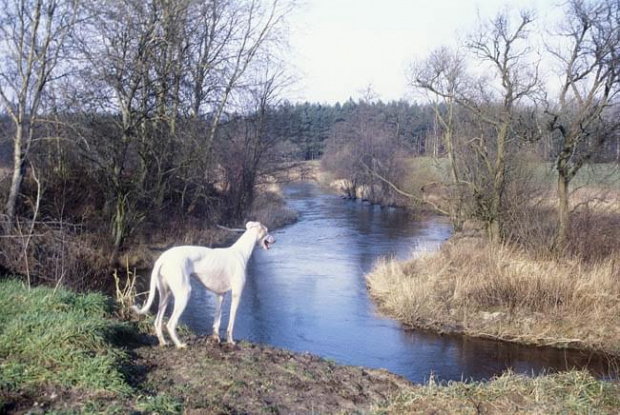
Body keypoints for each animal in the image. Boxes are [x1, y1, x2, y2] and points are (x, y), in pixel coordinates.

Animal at [132, 223, 274, 350]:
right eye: (267, 230)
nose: (274, 240)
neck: (240, 252)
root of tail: (162, 258)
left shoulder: (220, 295)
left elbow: (217, 320)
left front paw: (216, 338)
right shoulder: (236, 295)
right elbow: (231, 322)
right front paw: (230, 341)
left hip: (166, 295)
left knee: (157, 322)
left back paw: (163, 343)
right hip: (184, 294)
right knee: (170, 324)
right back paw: (180, 345)